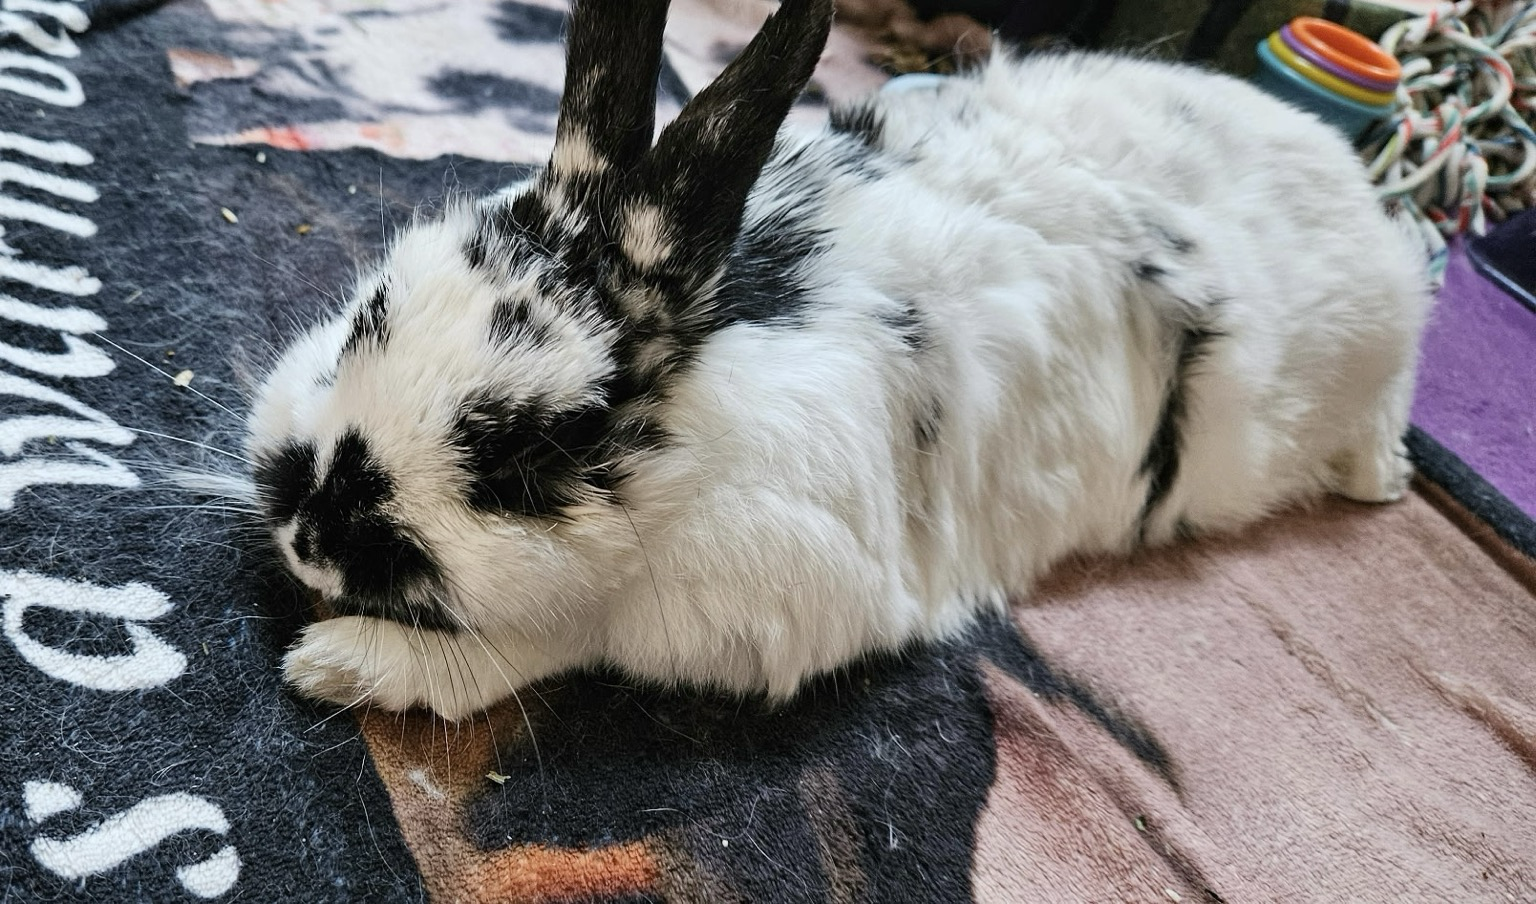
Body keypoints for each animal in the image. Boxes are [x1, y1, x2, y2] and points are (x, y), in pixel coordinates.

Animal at [246, 0, 1431, 721]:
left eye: (532, 460)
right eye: (369, 318)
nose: (312, 538)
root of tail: (1361, 188)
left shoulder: (737, 610)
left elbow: (541, 644)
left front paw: (337, 664)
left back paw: (1383, 481)